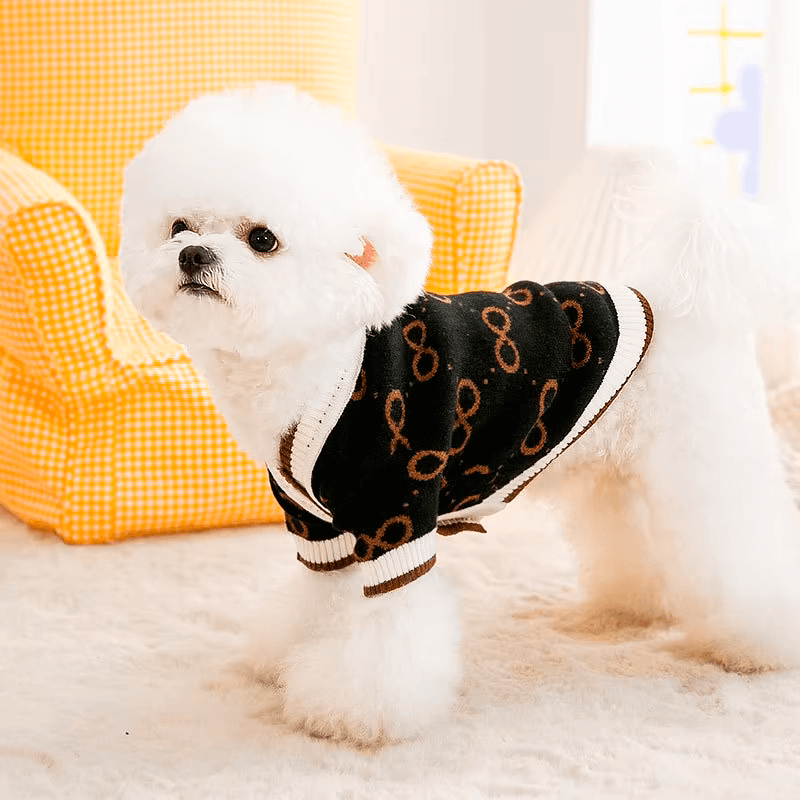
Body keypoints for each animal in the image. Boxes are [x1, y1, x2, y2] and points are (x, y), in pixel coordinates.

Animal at [119, 84, 800, 748]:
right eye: (179, 225)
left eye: (262, 239)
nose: (193, 255)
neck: (318, 358)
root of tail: (678, 298)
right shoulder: (318, 526)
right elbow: (318, 599)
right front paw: (288, 654)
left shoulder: (394, 514)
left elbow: (387, 628)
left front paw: (354, 711)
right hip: (618, 470)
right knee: (633, 540)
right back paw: (631, 607)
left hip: (704, 461)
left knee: (740, 548)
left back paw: (751, 644)